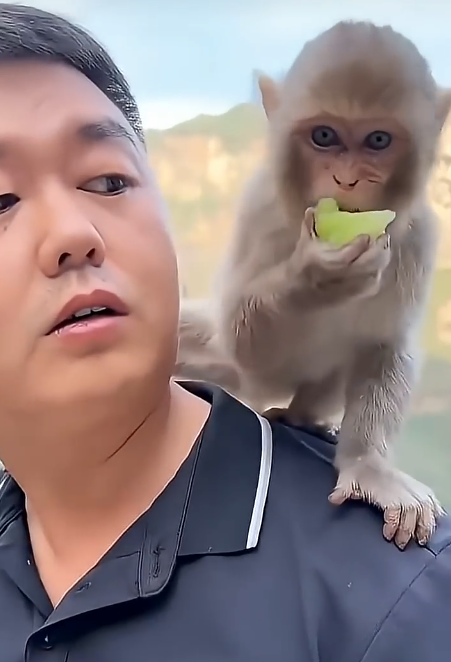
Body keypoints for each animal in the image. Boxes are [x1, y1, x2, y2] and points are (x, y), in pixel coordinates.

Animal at [175, 21, 451, 549]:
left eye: (378, 140)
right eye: (324, 136)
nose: (347, 179)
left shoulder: (418, 237)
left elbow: (383, 343)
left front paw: (367, 465)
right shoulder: (261, 209)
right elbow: (243, 337)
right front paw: (315, 280)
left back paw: (304, 416)